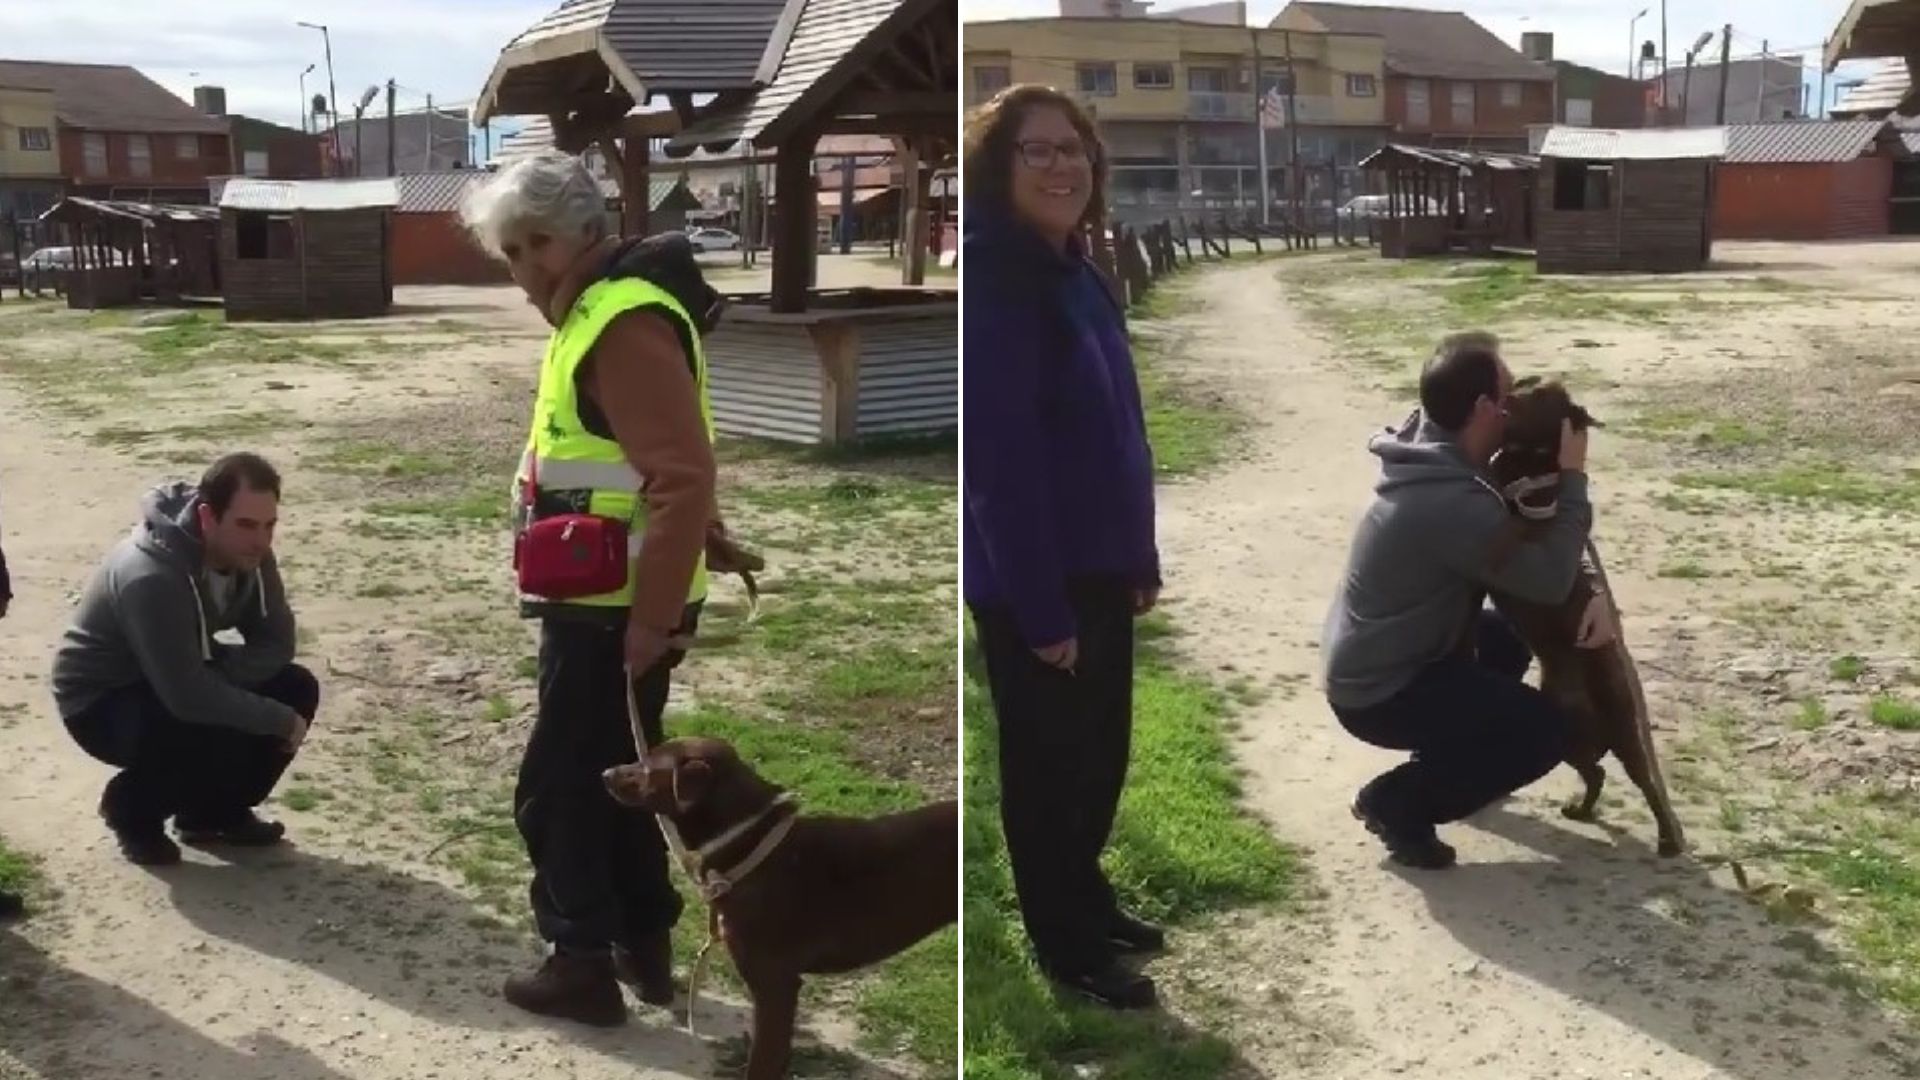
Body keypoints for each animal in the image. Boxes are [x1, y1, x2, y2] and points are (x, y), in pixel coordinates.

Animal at [1474, 374, 1689, 853]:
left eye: (1542, 395)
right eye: (1528, 384)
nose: (1512, 391)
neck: (1535, 462)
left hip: (1625, 730)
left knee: (1645, 781)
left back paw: (1667, 838)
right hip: (1568, 737)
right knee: (1598, 772)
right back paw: (1582, 810)